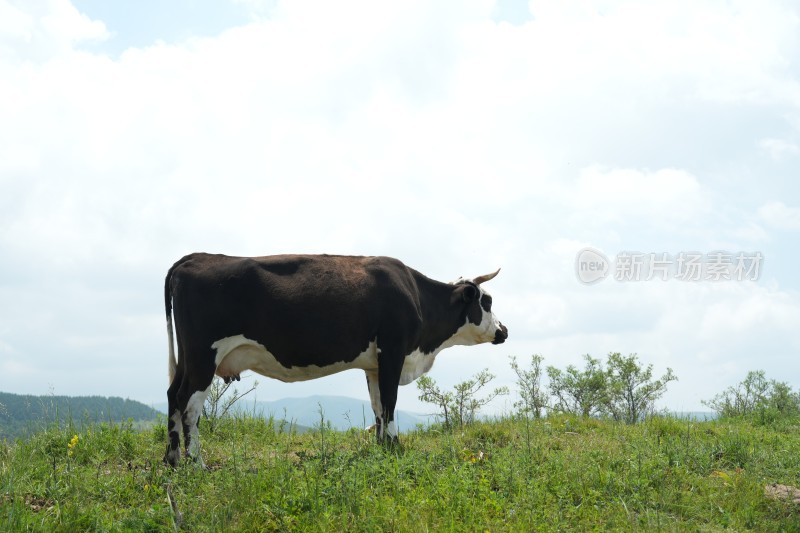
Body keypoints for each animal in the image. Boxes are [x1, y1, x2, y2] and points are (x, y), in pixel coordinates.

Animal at [164, 251, 506, 464]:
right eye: (487, 301)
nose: (503, 330)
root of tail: (194, 257)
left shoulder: (373, 364)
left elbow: (378, 407)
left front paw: (381, 447)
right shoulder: (393, 351)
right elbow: (391, 402)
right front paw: (395, 448)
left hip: (187, 358)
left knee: (172, 396)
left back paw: (173, 460)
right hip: (202, 356)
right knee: (189, 404)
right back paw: (197, 464)